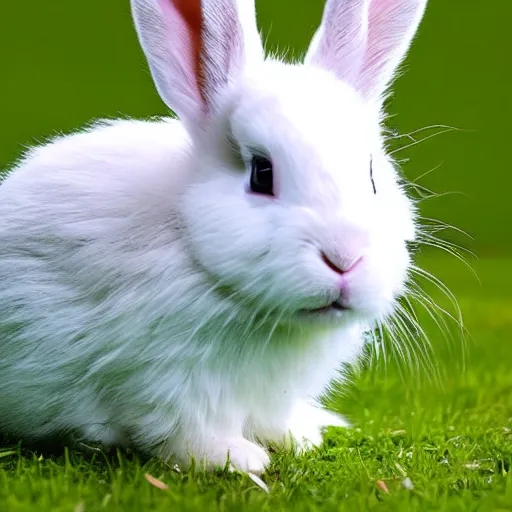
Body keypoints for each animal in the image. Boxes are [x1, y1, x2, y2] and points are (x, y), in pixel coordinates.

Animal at [0, 0, 428, 476]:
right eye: (261, 173)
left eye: (371, 177)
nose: (344, 258)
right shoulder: (164, 381)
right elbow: (181, 431)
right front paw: (236, 457)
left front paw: (299, 437)